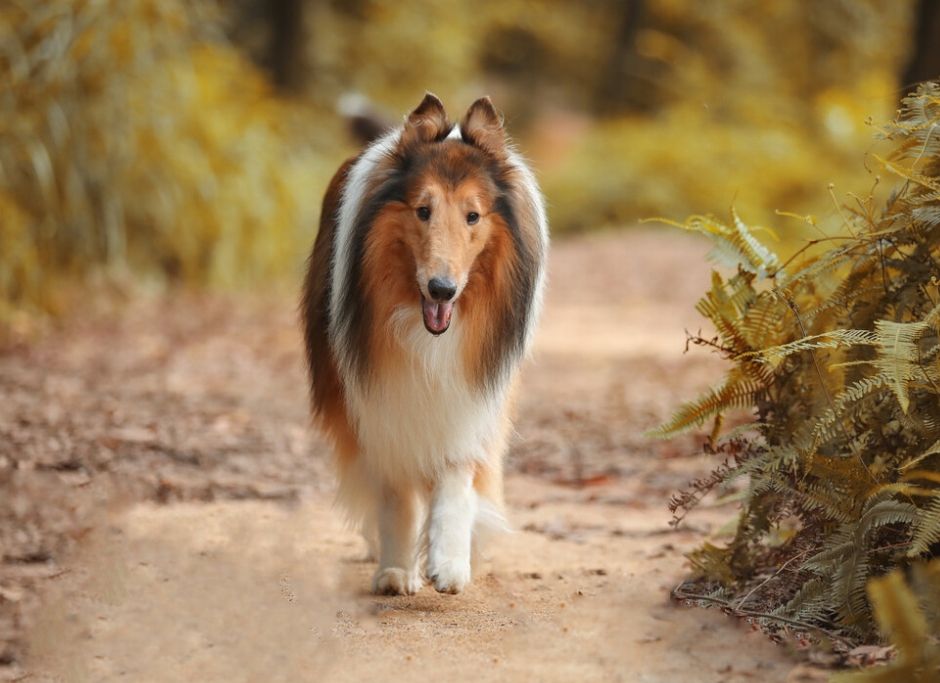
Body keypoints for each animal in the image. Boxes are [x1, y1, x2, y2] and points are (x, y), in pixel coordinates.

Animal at [302, 93, 552, 596]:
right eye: (423, 210)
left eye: (473, 215)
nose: (442, 289)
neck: (429, 334)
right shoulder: (380, 402)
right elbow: (396, 495)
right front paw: (397, 569)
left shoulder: (470, 401)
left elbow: (456, 477)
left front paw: (450, 560)